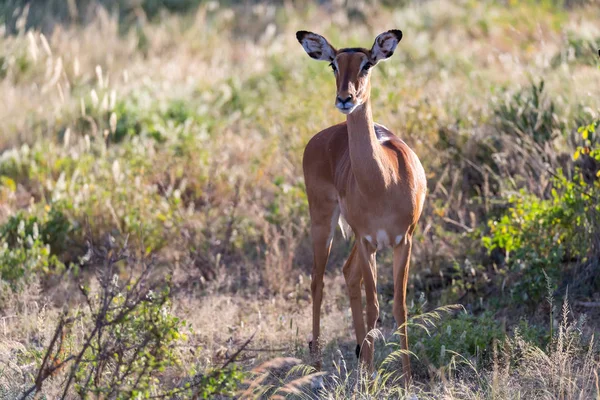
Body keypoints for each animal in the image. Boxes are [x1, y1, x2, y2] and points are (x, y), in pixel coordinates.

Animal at [296, 28, 426, 382]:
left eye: (367, 63)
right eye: (333, 64)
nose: (345, 98)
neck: (383, 182)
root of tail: (322, 135)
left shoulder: (402, 240)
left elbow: (399, 306)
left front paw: (406, 378)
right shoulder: (369, 242)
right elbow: (374, 306)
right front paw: (371, 377)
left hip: (354, 236)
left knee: (346, 272)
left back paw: (359, 359)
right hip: (323, 220)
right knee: (317, 280)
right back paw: (318, 365)